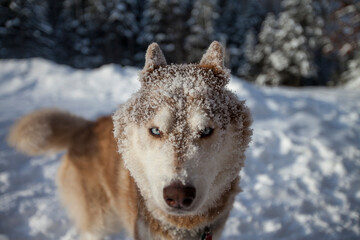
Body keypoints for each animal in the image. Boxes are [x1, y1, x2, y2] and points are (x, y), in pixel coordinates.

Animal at [7, 41, 250, 240]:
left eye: (206, 130)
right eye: (155, 130)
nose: (178, 195)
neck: (182, 227)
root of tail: (87, 126)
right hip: (100, 222)